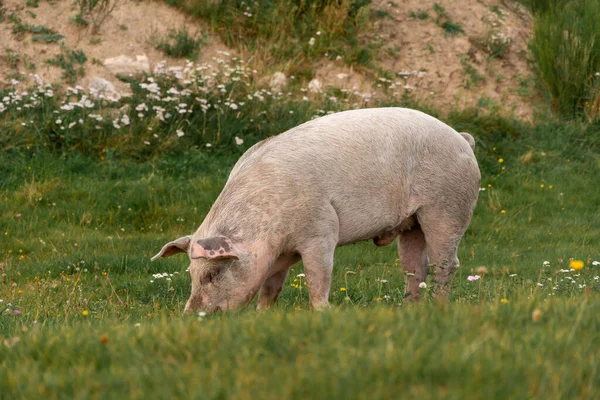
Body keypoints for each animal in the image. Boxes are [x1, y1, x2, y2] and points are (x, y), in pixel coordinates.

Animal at [152, 108, 480, 314]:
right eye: (191, 274)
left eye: (214, 272)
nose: (190, 315)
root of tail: (462, 139)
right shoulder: (278, 254)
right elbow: (270, 287)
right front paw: (262, 314)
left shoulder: (321, 230)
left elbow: (316, 276)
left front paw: (322, 312)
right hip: (412, 223)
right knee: (415, 268)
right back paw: (409, 308)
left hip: (446, 207)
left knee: (446, 264)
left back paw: (438, 306)